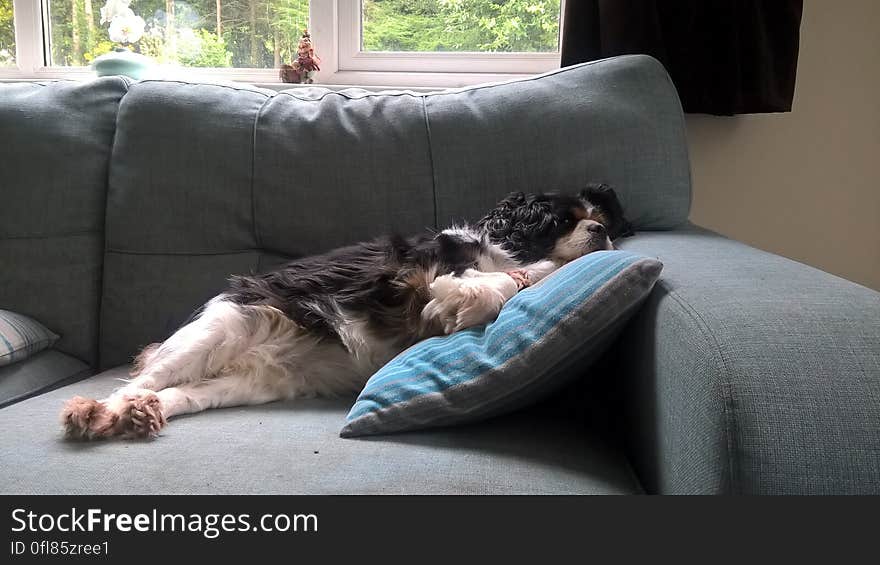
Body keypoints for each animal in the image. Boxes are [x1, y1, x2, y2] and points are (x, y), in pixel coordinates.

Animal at [62, 183, 628, 438]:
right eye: (563, 220)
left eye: (598, 217)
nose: (601, 229)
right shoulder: (414, 278)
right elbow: (491, 283)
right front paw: (465, 302)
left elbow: (520, 280)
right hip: (218, 330)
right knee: (140, 380)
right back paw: (96, 412)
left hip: (246, 385)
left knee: (180, 394)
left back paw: (142, 413)